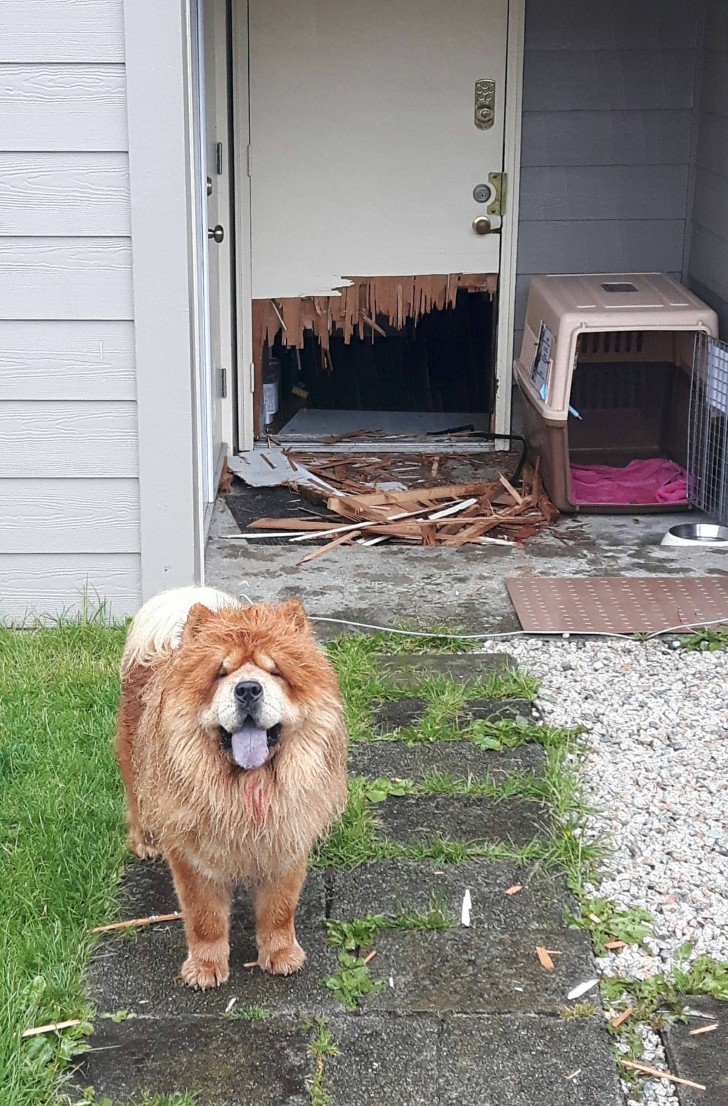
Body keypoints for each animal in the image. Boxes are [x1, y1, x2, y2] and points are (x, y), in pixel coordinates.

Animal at [115, 592, 347, 990]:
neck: (247, 789)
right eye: (221, 673)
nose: (248, 688)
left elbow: (279, 910)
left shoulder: (286, 843)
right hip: (137, 772)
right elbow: (204, 917)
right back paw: (146, 844)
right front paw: (205, 969)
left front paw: (281, 956)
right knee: (137, 807)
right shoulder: (192, 856)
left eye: (275, 671)